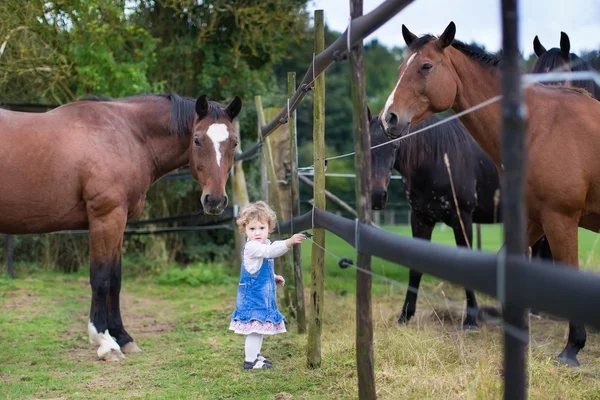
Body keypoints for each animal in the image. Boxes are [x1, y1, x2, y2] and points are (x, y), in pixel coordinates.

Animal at [2, 93, 243, 360]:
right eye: (197, 140)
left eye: (234, 143)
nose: (215, 200)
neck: (126, 134)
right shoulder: (106, 218)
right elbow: (101, 278)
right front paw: (105, 342)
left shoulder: (119, 222)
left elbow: (115, 279)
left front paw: (123, 337)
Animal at [380, 21, 600, 366]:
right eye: (402, 68)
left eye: (426, 66)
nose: (389, 117)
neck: (542, 126)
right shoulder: (533, 218)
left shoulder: (558, 218)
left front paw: (572, 347)